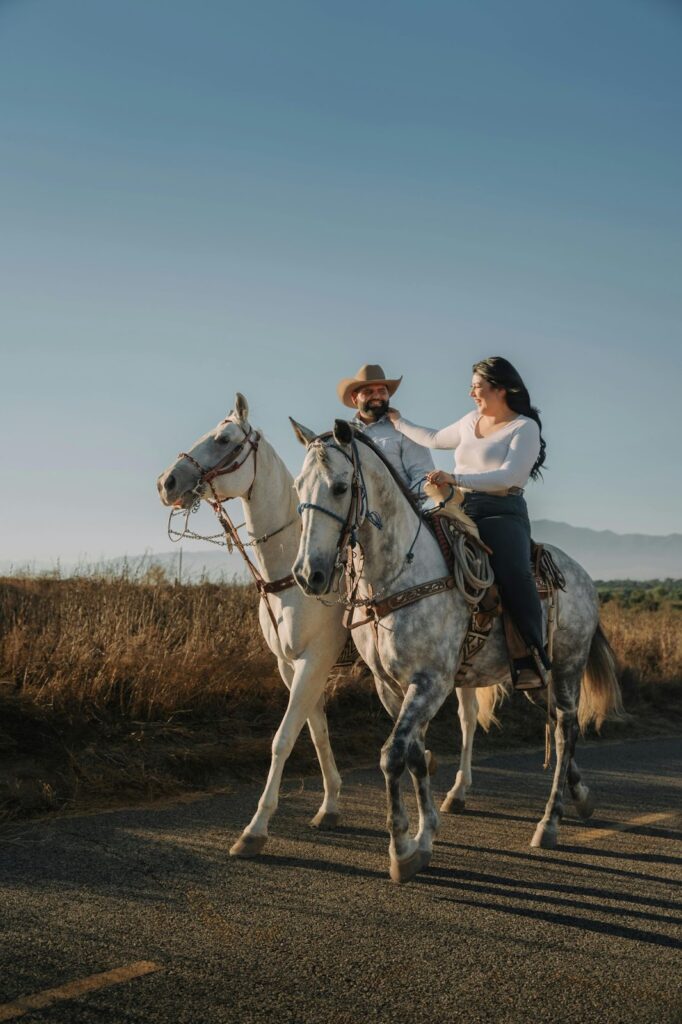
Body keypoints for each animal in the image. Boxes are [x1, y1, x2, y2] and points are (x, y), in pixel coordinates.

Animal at [291, 417, 624, 883]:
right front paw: (425, 834)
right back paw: (582, 796)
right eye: (299, 487)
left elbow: (393, 755)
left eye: (340, 487)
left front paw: (401, 850)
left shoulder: (431, 682)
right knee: (561, 727)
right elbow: (415, 754)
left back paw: (550, 822)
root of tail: (582, 575)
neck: (401, 574)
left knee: (564, 730)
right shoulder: (390, 686)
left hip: (567, 667)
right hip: (535, 676)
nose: (309, 575)